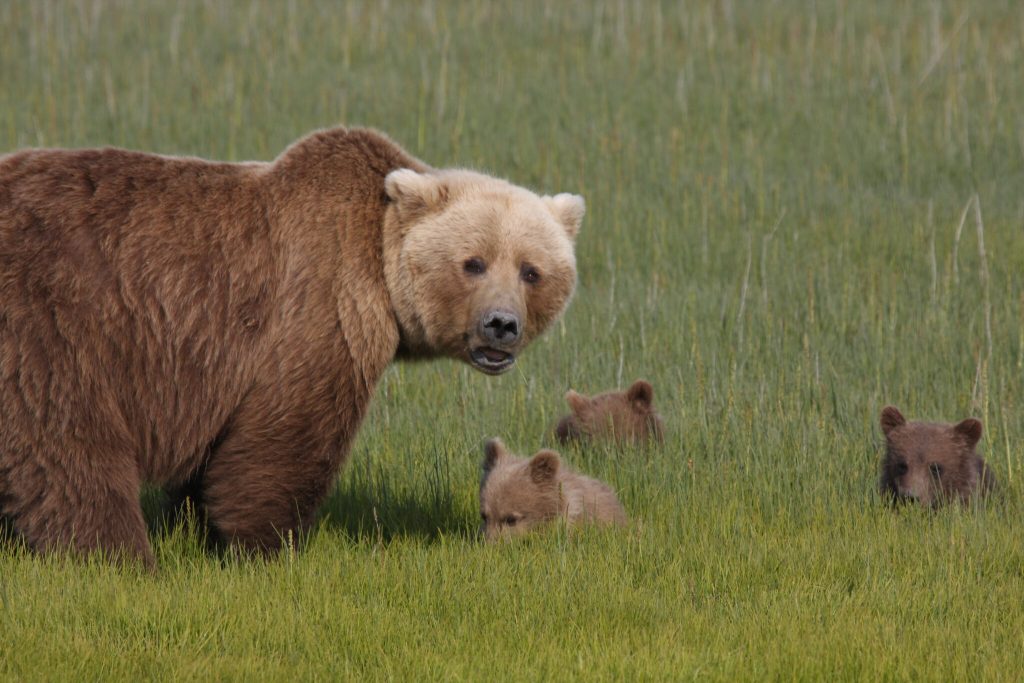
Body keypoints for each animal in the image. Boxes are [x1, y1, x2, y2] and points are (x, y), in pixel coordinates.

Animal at [0, 127, 584, 566]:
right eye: (473, 262)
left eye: (531, 270)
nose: (501, 325)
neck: (380, 267)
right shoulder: (319, 309)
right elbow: (284, 438)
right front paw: (265, 545)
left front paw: (195, 524)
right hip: (55, 320)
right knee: (66, 441)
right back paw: (118, 554)